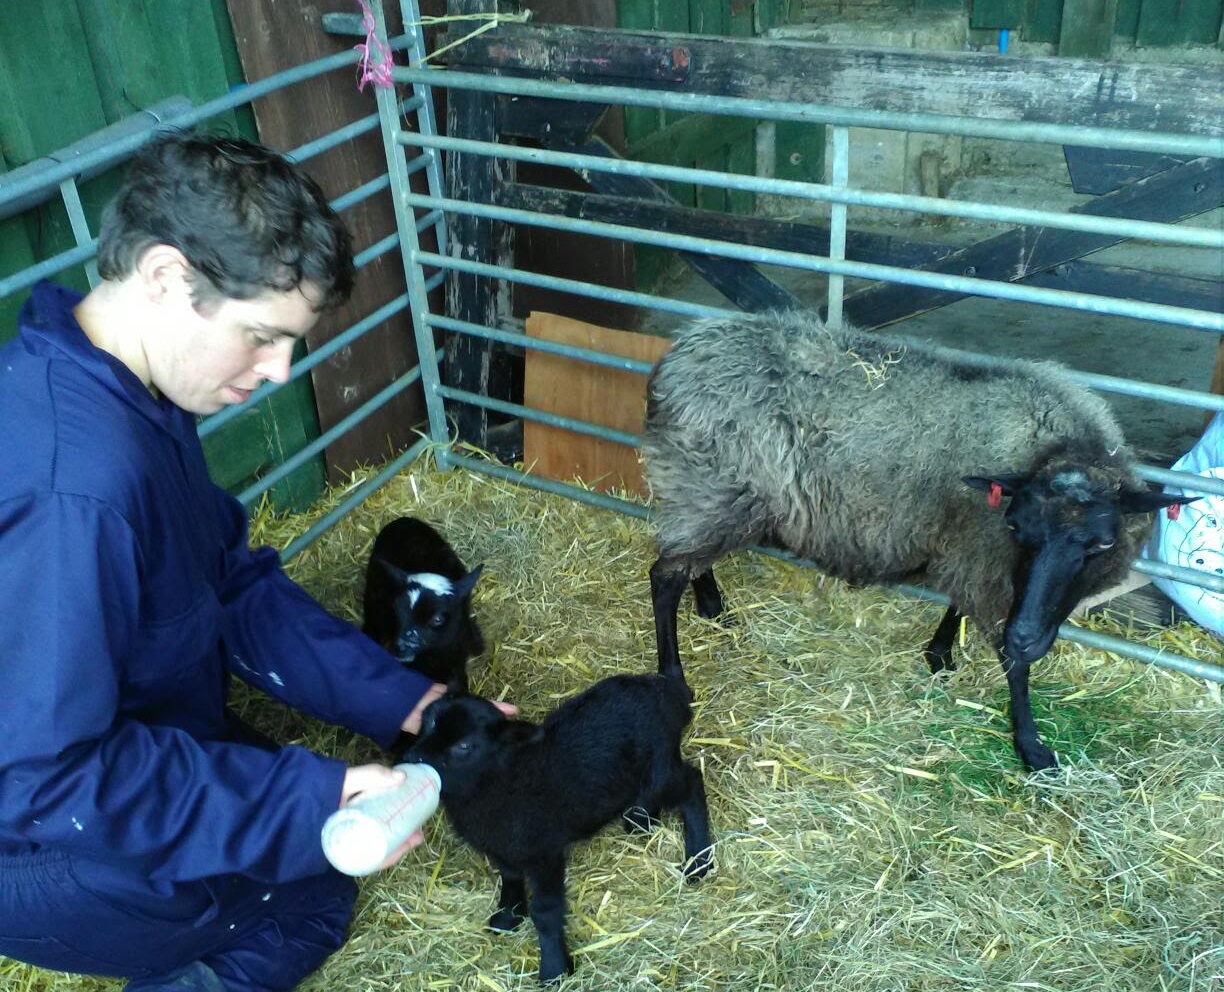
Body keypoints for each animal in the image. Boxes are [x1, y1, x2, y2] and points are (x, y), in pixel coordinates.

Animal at [403, 651, 709, 979]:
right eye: (430, 719)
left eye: (464, 746)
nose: (413, 758)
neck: (498, 779)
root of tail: (668, 693)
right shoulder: (505, 848)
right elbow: (510, 878)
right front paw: (508, 916)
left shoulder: (544, 852)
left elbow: (546, 910)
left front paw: (554, 968)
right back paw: (640, 820)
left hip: (660, 768)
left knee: (692, 783)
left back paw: (699, 860)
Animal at [641, 304, 1184, 769]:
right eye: (1016, 528)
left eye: (1102, 543)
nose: (1027, 635)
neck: (1053, 444)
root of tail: (679, 354)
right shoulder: (986, 559)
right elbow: (1014, 665)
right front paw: (1030, 744)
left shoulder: (970, 548)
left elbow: (959, 609)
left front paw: (941, 655)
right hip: (708, 488)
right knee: (664, 577)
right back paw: (674, 674)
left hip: (714, 496)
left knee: (691, 559)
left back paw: (712, 605)